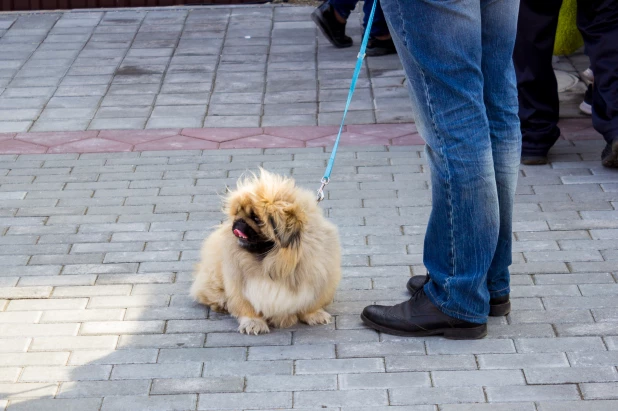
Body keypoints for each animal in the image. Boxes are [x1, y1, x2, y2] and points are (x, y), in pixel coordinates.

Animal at [190, 170, 340, 334]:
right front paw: (253, 323)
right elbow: (247, 307)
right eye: (237, 213)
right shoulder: (240, 285)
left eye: (256, 218)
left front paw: (314, 315)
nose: (238, 221)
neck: (272, 262)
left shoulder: (317, 280)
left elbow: (310, 303)